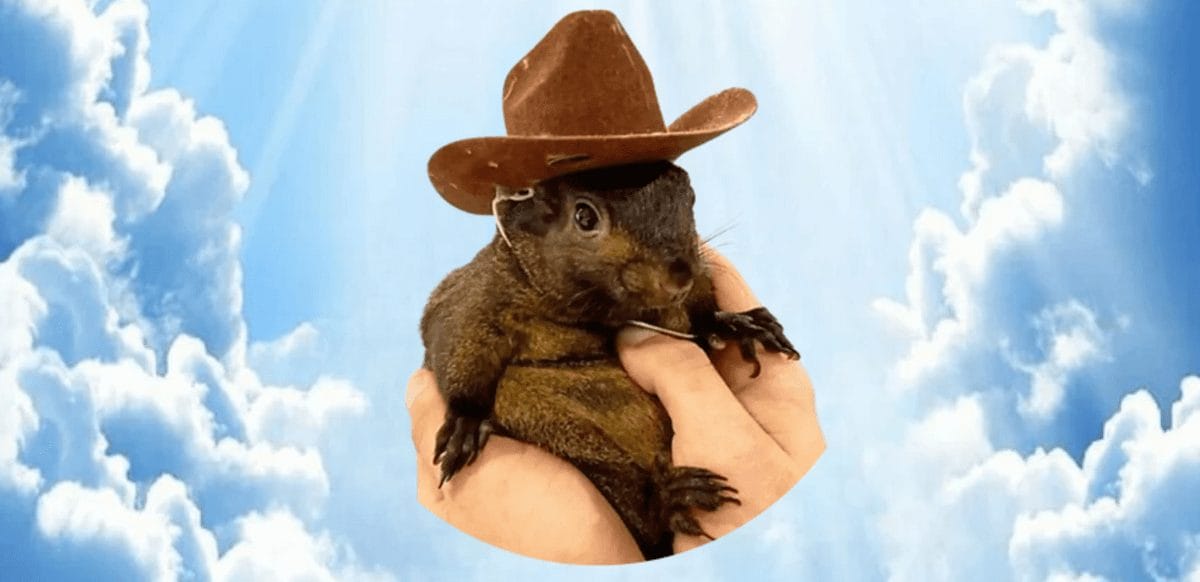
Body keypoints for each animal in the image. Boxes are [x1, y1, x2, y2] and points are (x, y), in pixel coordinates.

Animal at [419, 160, 799, 559]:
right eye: (584, 216)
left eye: (689, 196)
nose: (679, 276)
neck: (599, 311)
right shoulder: (474, 298)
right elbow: (457, 343)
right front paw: (465, 421)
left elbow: (700, 315)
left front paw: (735, 324)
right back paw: (667, 501)